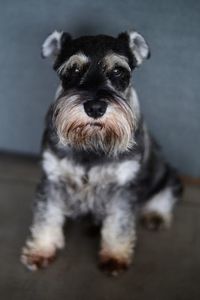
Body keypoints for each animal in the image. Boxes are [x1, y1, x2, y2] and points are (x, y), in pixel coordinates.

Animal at [21, 29, 182, 276]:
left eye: (118, 71)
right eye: (73, 70)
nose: (95, 108)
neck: (92, 143)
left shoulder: (123, 187)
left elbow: (119, 224)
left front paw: (115, 256)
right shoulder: (52, 180)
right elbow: (46, 215)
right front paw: (41, 249)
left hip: (168, 175)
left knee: (165, 195)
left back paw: (156, 215)